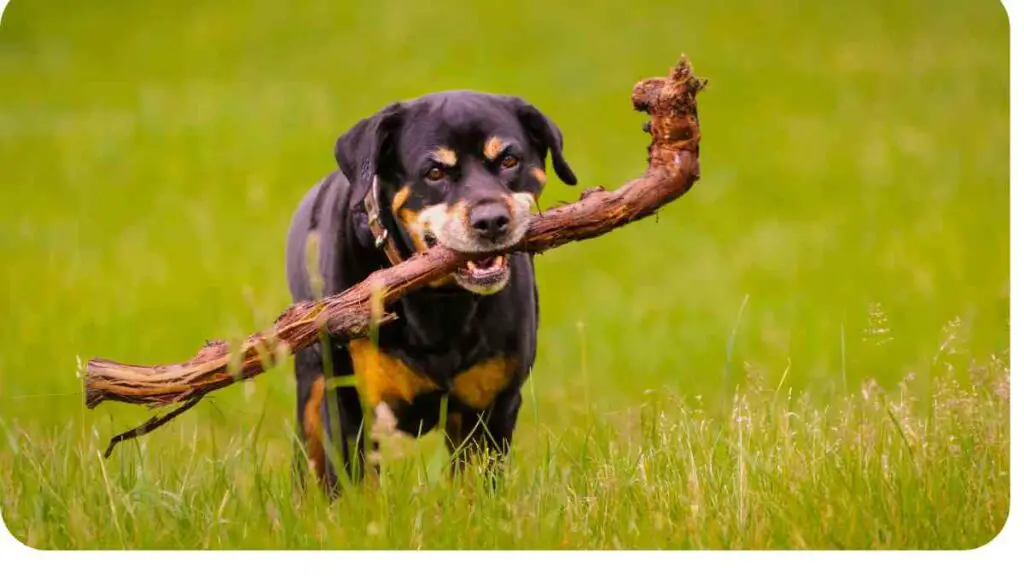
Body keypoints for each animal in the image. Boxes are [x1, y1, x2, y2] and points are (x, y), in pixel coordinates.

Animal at [284, 90, 577, 494]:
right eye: (434, 172)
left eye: (509, 160)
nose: (491, 221)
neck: (439, 303)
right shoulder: (348, 403)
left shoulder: (490, 407)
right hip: (312, 387)